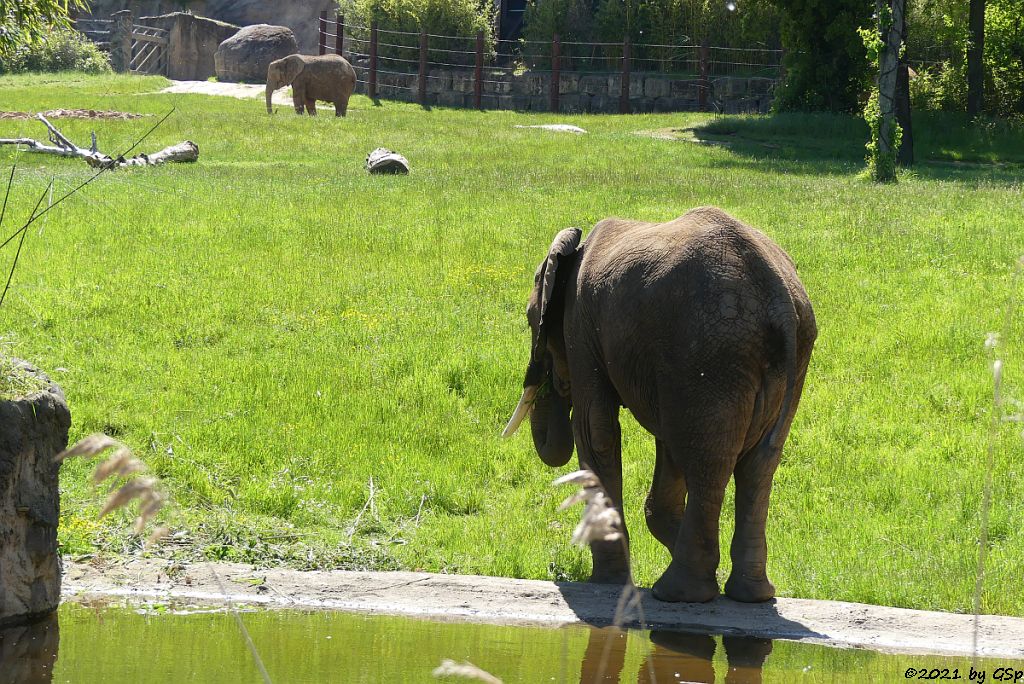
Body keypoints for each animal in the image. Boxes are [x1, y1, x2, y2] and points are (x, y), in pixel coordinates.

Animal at [503, 205, 815, 602]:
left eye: (531, 318)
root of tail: (778, 299)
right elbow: (665, 447)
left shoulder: (581, 326)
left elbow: (595, 431)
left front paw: (606, 582)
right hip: (783, 360)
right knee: (757, 464)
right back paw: (749, 593)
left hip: (709, 353)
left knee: (707, 462)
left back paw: (680, 593)